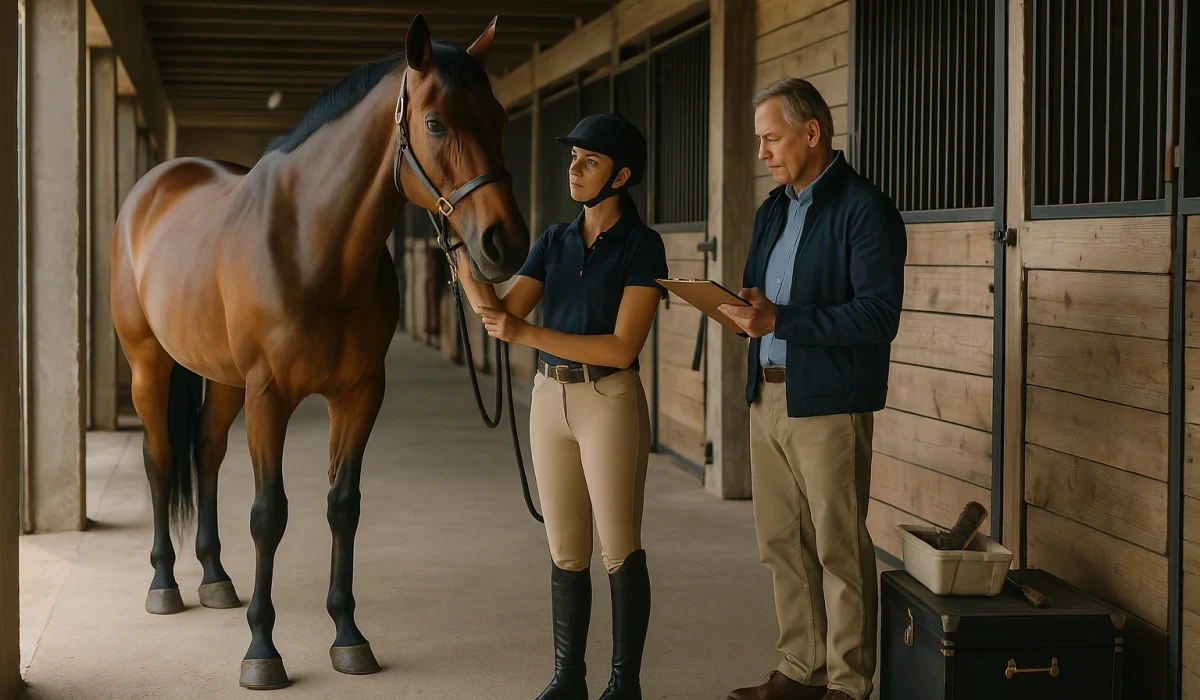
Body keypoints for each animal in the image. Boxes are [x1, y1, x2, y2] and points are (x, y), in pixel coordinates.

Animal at [110, 14, 529, 690]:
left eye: (499, 117)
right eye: (436, 122)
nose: (506, 244)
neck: (312, 243)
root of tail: (152, 188)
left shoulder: (359, 392)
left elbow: (343, 507)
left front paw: (349, 636)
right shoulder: (269, 395)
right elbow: (268, 514)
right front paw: (262, 650)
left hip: (223, 378)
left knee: (205, 451)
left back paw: (214, 578)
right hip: (150, 363)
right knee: (161, 458)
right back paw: (164, 584)